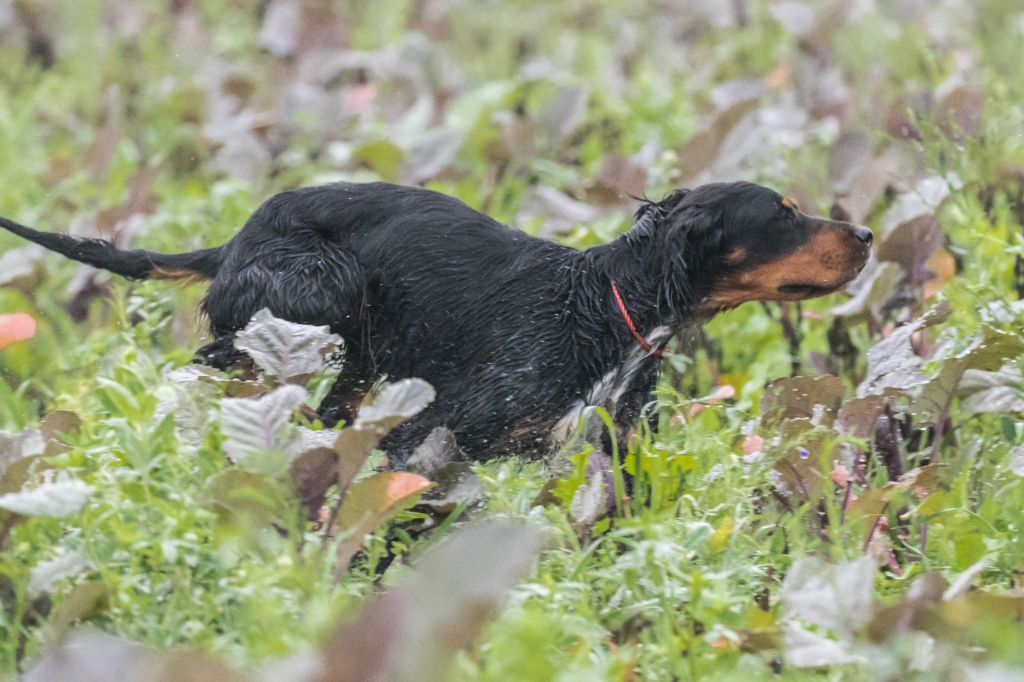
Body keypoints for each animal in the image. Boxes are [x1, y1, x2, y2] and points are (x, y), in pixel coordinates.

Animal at [0, 180, 872, 464]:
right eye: (783, 213)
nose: (866, 234)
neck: (605, 306)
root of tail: (237, 239)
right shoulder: (438, 424)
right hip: (322, 303)